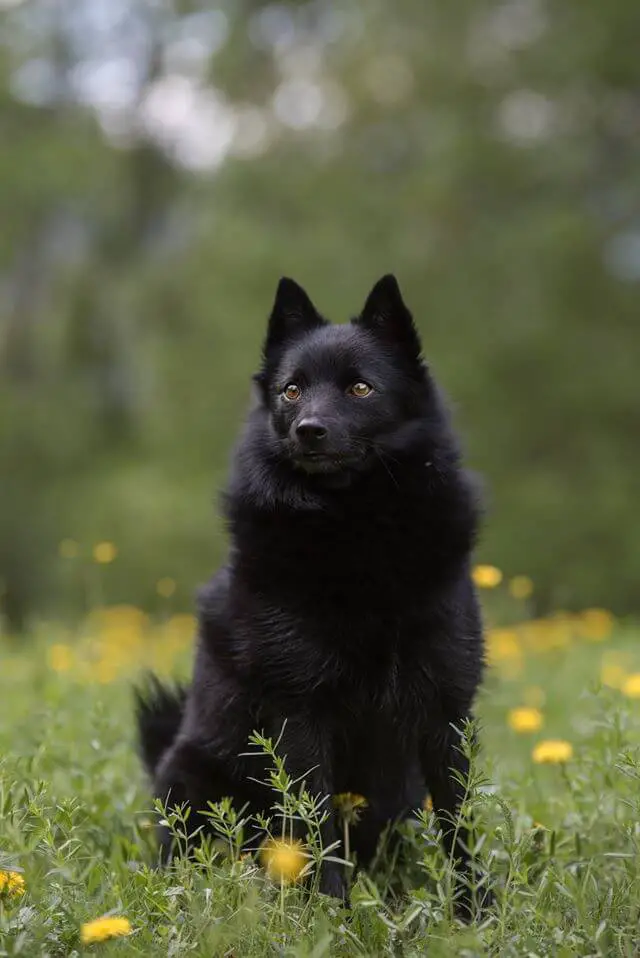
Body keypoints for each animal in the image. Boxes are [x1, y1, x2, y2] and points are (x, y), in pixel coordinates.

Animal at [135, 276, 484, 916]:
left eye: (360, 387)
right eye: (292, 391)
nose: (308, 430)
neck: (358, 531)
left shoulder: (445, 713)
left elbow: (460, 826)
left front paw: (478, 915)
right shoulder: (301, 714)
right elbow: (316, 828)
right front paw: (329, 916)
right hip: (193, 781)